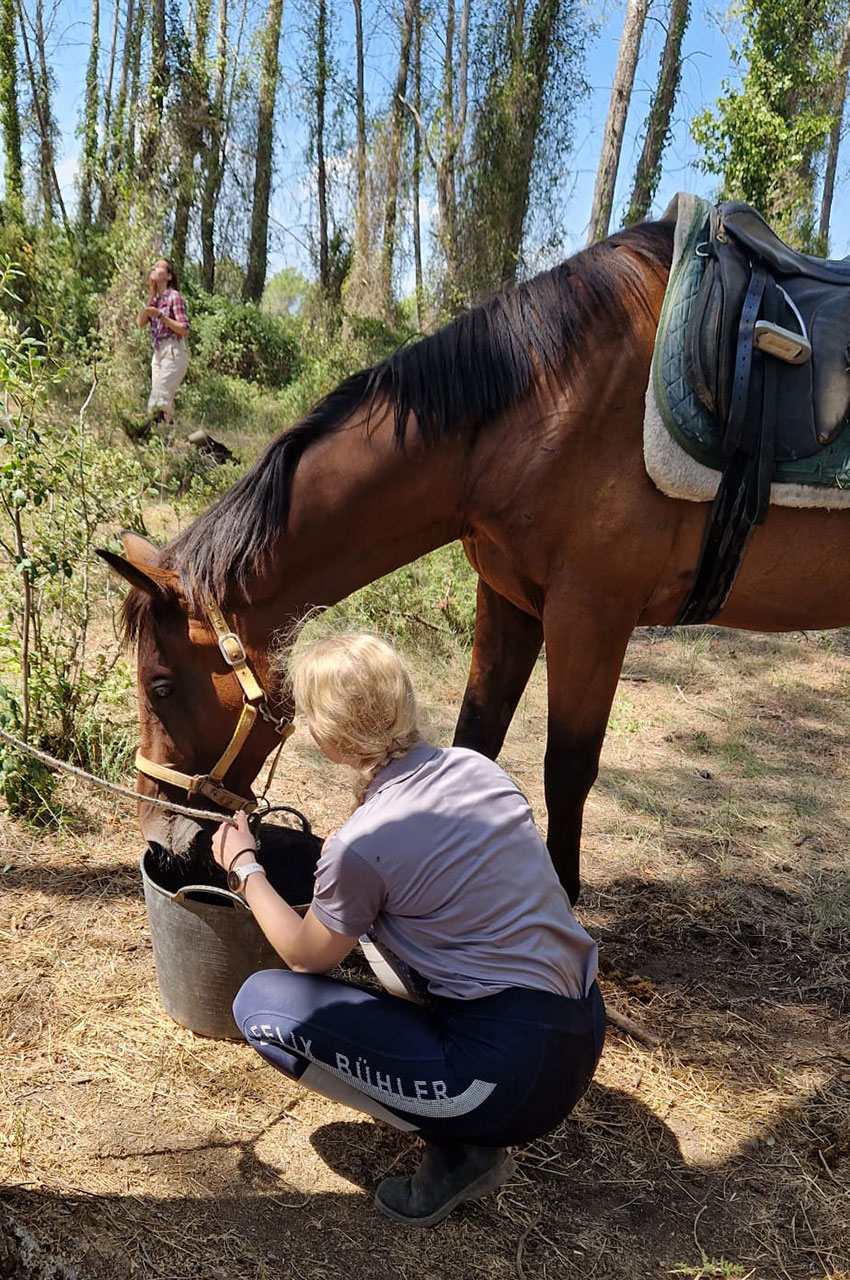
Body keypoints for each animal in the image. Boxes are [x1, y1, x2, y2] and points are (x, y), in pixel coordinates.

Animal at [99, 220, 850, 901]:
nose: (158, 846)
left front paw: (563, 898)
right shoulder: (510, 600)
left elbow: (567, 768)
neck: (548, 407)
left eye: (161, 686)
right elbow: (475, 740)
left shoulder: (592, 614)